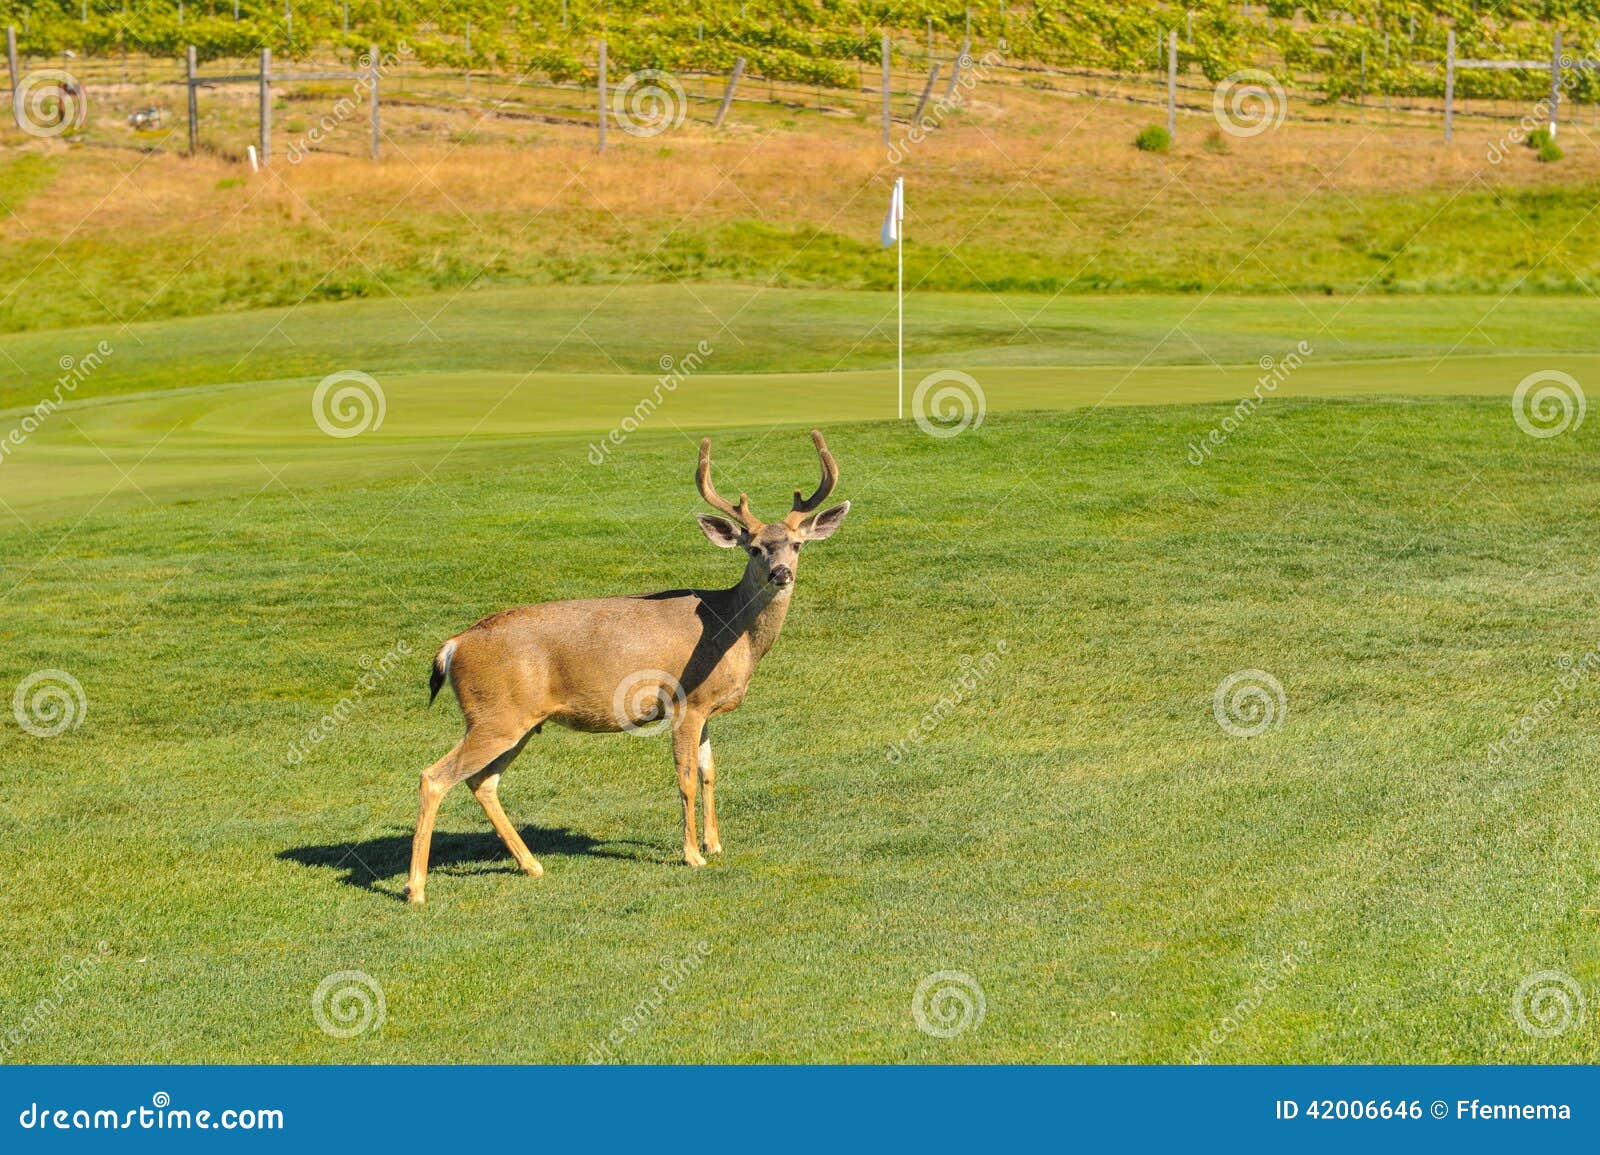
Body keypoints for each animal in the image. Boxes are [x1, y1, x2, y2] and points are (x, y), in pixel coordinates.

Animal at [405, 430, 851, 905]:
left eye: (797, 544)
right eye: (754, 548)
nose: (781, 573)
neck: (729, 628)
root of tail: (454, 645)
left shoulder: (707, 709)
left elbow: (710, 771)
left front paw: (715, 843)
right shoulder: (686, 703)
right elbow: (686, 777)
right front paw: (693, 855)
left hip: (516, 721)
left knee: (482, 782)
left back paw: (531, 865)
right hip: (495, 713)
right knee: (434, 776)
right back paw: (416, 888)